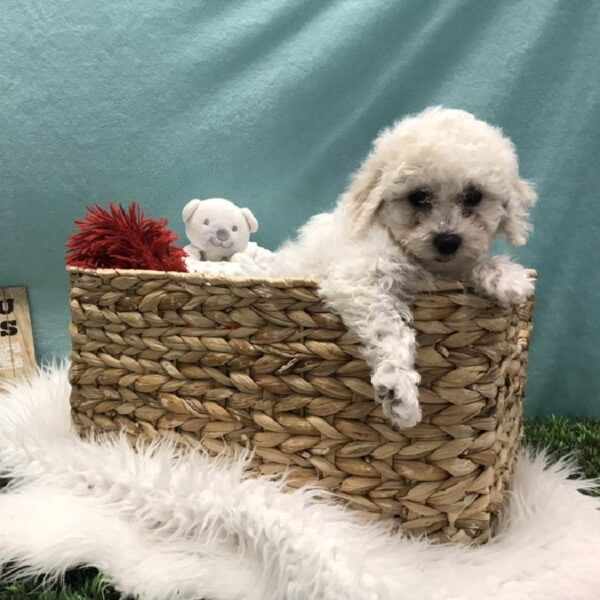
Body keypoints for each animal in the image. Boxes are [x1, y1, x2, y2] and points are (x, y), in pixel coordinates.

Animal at [274, 106, 536, 426]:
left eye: (474, 196)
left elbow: (472, 262)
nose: (447, 241)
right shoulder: (359, 280)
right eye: (418, 197)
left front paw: (506, 276)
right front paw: (398, 390)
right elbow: (389, 329)